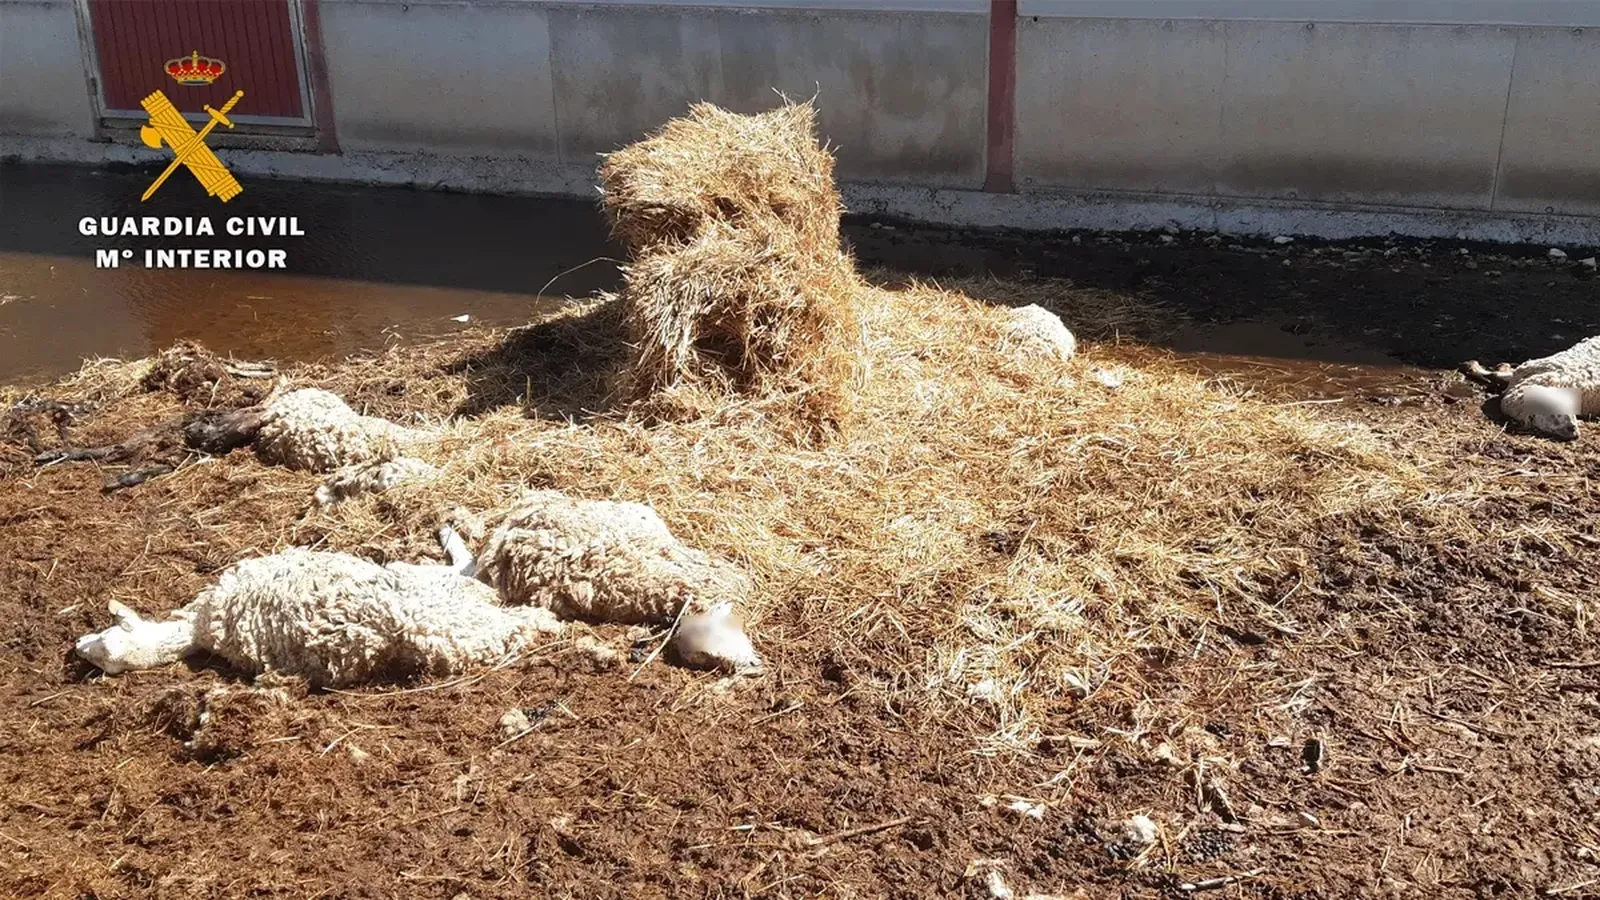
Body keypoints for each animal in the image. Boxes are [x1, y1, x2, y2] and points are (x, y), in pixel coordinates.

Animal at [74, 528, 562, 688]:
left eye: (106, 641)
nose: (78, 647)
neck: (198, 627)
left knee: (472, 570)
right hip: (449, 601)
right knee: (479, 580)